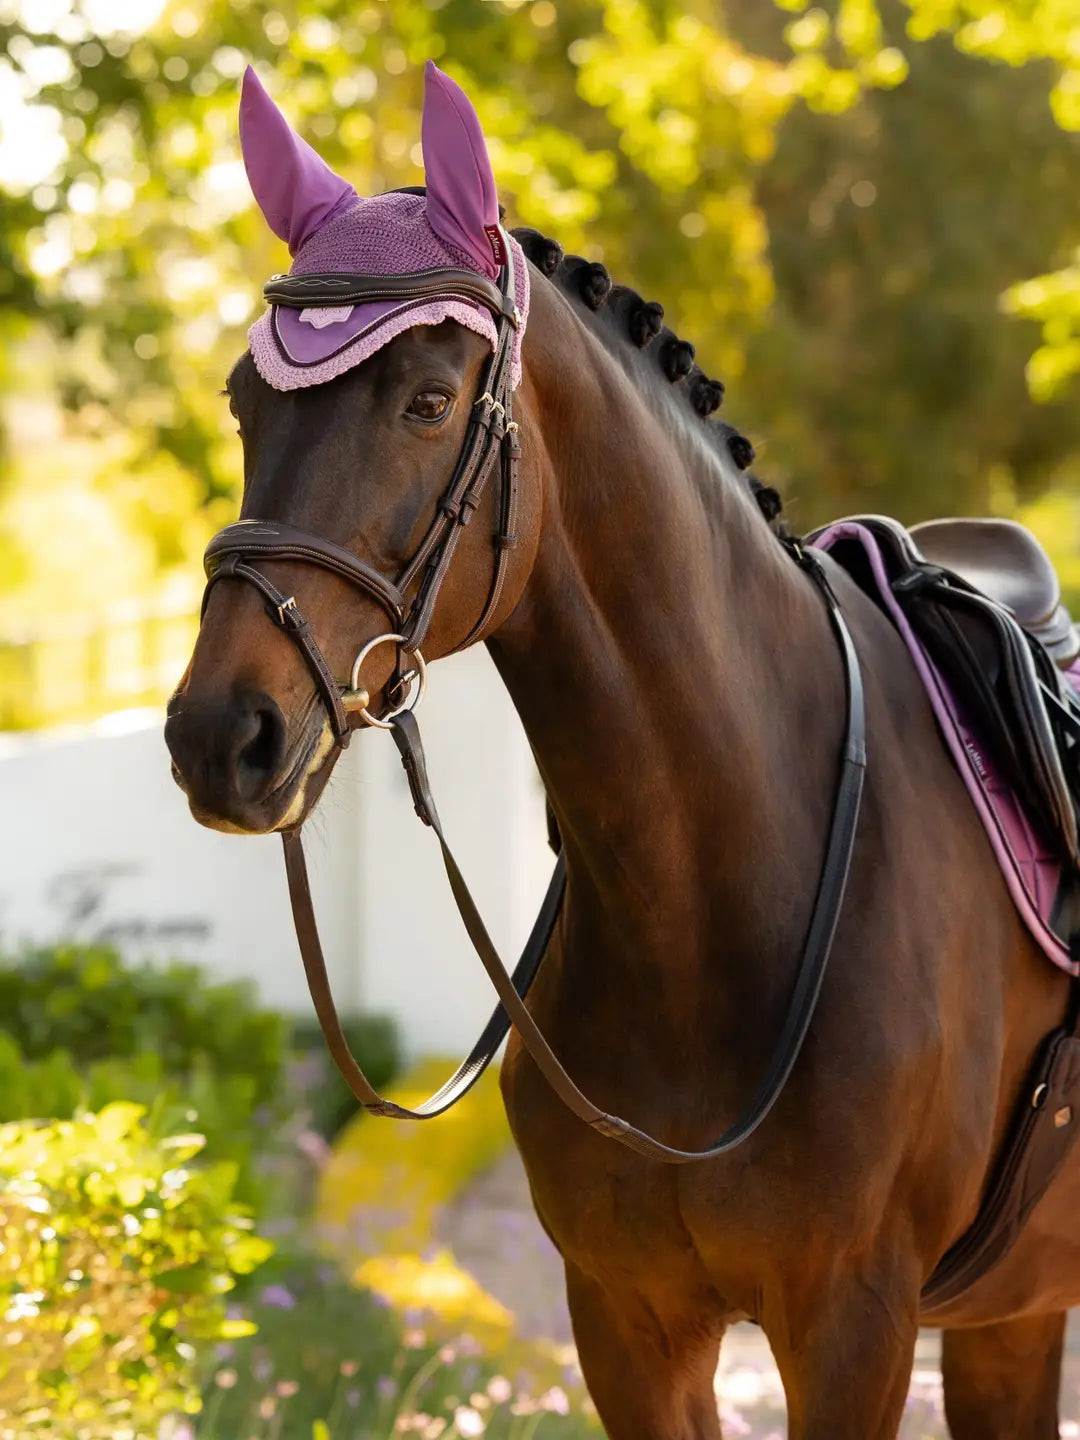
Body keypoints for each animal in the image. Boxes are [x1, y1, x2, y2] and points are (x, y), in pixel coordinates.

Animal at [165, 60, 1080, 1438]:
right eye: (244, 399)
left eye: (430, 400)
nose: (221, 735)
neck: (714, 899)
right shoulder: (626, 1320)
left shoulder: (854, 1329)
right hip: (1008, 1315)